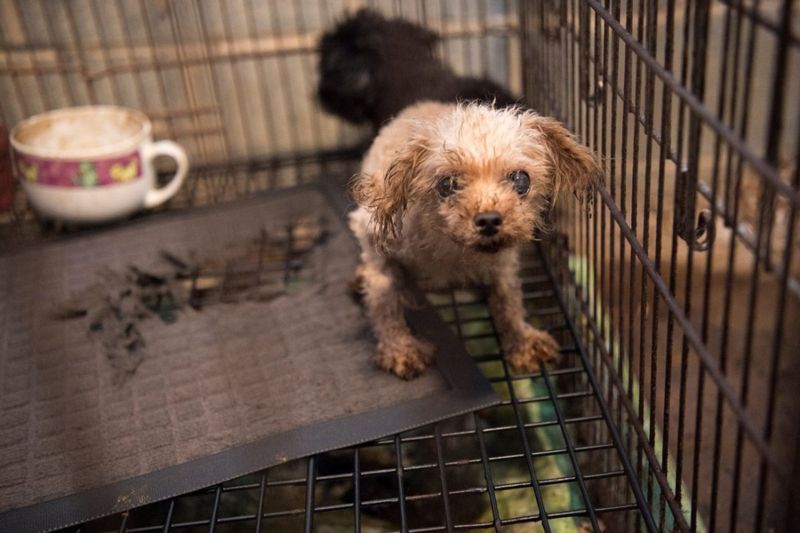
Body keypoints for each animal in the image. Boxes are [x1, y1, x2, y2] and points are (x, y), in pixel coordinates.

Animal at [350, 101, 600, 378]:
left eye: (521, 179)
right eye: (447, 184)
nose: (489, 220)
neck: (452, 250)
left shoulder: (503, 263)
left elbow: (508, 301)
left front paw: (522, 340)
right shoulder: (374, 241)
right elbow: (384, 301)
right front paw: (399, 347)